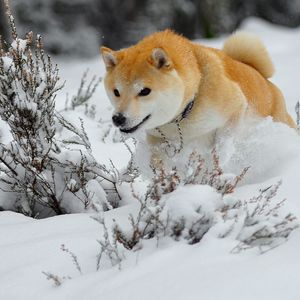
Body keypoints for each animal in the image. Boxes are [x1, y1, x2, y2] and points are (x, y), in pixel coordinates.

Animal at [100, 30, 296, 154]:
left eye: (144, 91)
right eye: (116, 92)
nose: (118, 118)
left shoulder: (236, 107)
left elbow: (222, 145)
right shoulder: (157, 138)